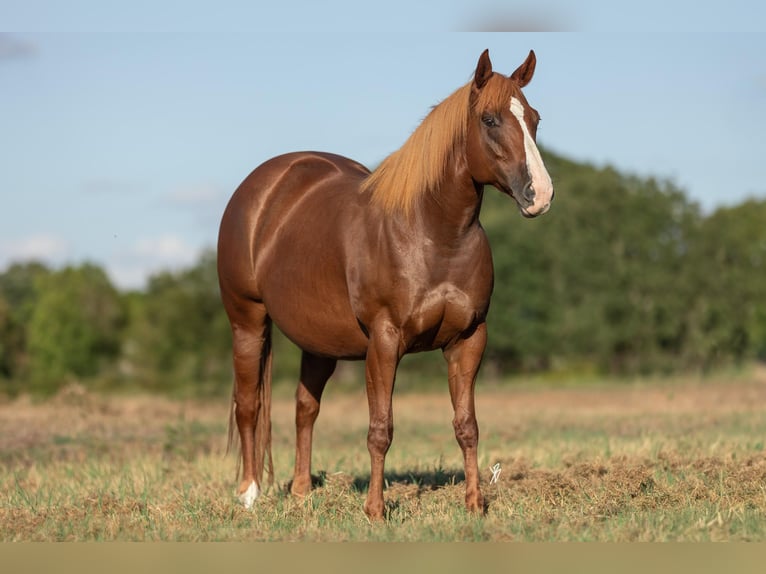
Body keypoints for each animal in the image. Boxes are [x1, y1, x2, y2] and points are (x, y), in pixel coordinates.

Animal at [219, 47, 556, 520]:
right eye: (490, 120)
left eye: (535, 118)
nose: (539, 194)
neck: (433, 234)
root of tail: (263, 187)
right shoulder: (383, 340)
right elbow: (381, 429)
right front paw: (376, 511)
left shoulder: (469, 339)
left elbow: (466, 426)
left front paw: (474, 504)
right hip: (247, 321)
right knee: (249, 405)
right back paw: (249, 494)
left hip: (319, 342)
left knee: (305, 407)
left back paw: (302, 492)